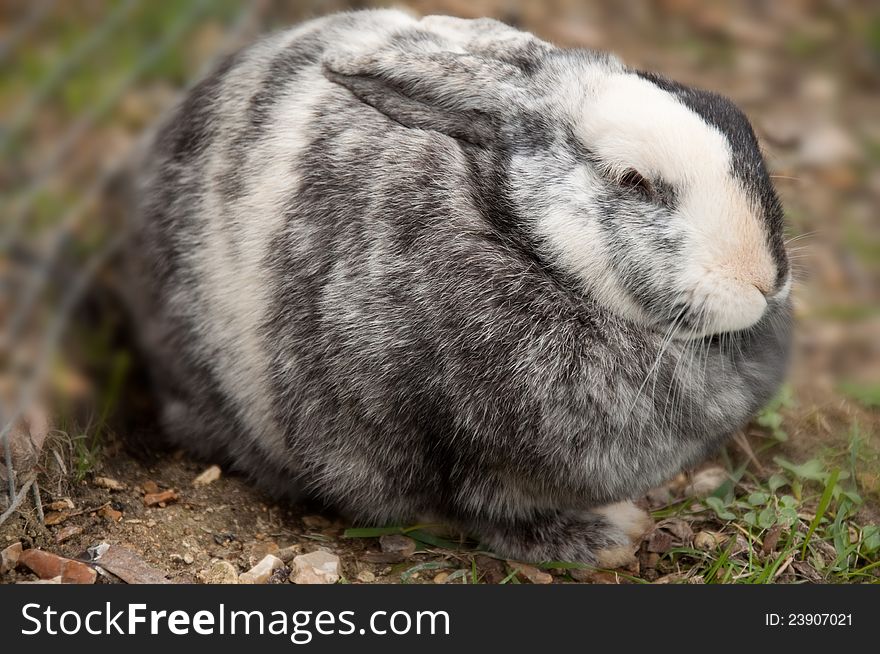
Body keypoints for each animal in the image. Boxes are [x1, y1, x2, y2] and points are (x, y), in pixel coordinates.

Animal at [129, 7, 792, 568]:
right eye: (634, 181)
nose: (765, 279)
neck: (518, 238)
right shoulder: (453, 448)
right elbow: (491, 512)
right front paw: (606, 538)